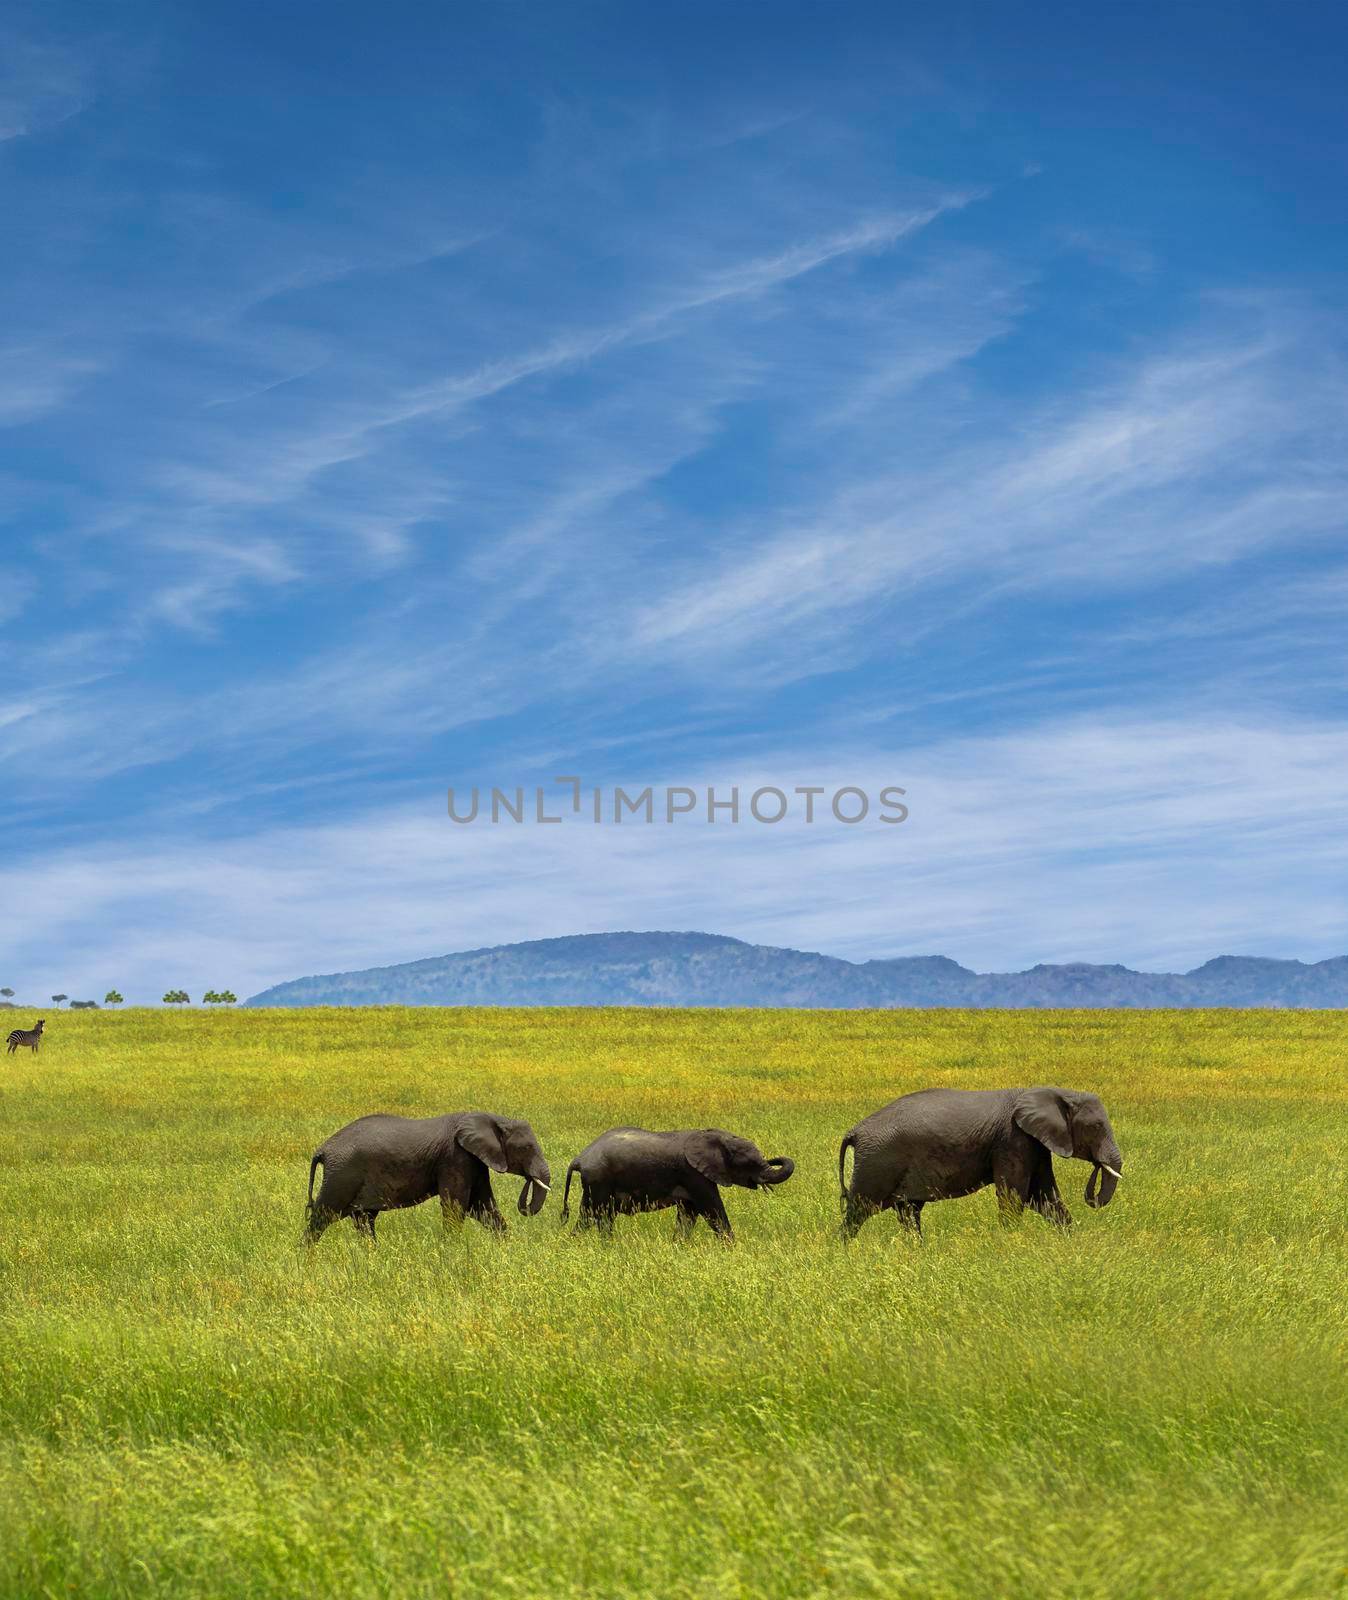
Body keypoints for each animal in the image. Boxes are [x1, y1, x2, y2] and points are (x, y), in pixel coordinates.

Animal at [304, 1107, 550, 1241]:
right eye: (527, 1148)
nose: (530, 1178)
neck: (494, 1118)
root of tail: (323, 1150)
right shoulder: (455, 1157)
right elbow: (456, 1206)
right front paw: (452, 1250)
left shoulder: (475, 1161)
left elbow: (483, 1207)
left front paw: (507, 1248)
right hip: (341, 1176)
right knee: (321, 1216)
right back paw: (306, 1261)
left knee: (364, 1220)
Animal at [560, 1126, 794, 1235]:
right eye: (750, 1162)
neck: (717, 1136)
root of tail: (580, 1158)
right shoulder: (694, 1174)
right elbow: (712, 1210)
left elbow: (688, 1214)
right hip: (599, 1179)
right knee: (597, 1214)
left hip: (594, 1183)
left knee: (590, 1215)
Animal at [832, 1088, 1120, 1235]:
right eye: (1096, 1126)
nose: (1098, 1164)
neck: (1055, 1091)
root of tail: (855, 1132)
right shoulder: (1012, 1139)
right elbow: (1015, 1195)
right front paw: (1009, 1244)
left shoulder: (1034, 1144)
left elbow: (1044, 1196)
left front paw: (1070, 1242)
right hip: (876, 1164)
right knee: (858, 1211)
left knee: (908, 1212)